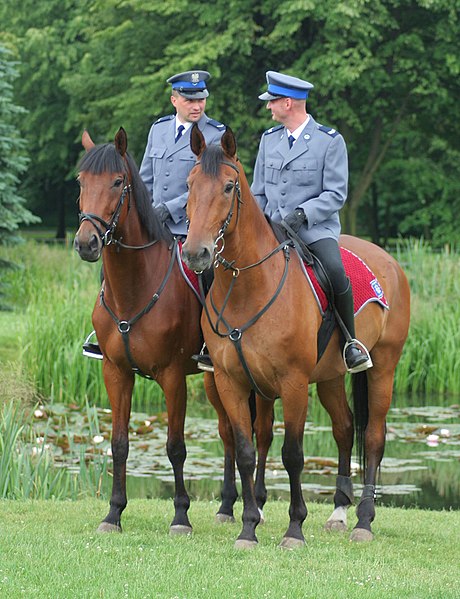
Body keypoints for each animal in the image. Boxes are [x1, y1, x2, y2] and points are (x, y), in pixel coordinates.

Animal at [73, 126, 239, 536]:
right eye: (82, 181)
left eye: (118, 181)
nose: (86, 243)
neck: (135, 287)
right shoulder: (115, 372)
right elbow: (119, 442)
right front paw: (113, 513)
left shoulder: (172, 376)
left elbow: (175, 446)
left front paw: (181, 515)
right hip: (214, 380)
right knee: (228, 432)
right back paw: (227, 506)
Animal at [181, 125, 412, 548]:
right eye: (189, 184)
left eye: (228, 187)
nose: (196, 253)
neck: (248, 285)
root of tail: (389, 260)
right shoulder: (232, 381)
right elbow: (246, 450)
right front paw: (248, 527)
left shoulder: (292, 382)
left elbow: (292, 454)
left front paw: (294, 528)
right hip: (332, 377)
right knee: (343, 429)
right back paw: (339, 512)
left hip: (383, 368)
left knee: (373, 436)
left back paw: (364, 521)